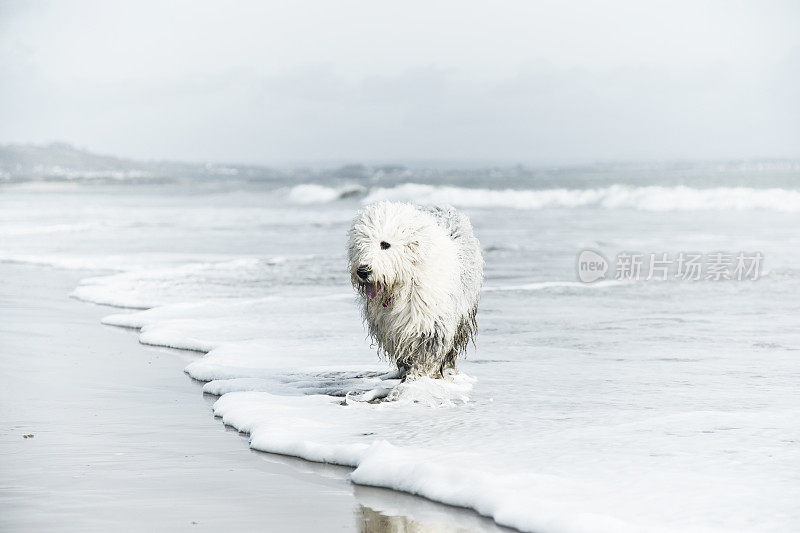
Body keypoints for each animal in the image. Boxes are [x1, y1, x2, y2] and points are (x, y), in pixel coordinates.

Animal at [346, 201, 482, 378]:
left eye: (385, 244)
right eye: (359, 245)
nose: (363, 271)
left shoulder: (432, 320)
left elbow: (427, 354)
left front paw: (417, 378)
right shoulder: (390, 328)